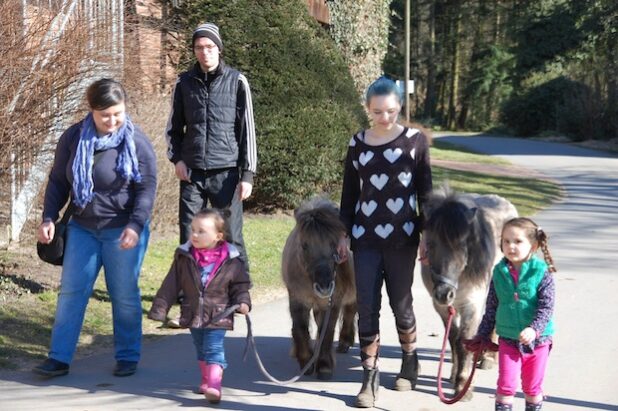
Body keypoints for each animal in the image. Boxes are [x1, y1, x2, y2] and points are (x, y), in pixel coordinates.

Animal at [280, 198, 354, 382]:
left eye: (333, 243)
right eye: (304, 245)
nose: (324, 286)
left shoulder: (332, 303)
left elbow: (326, 332)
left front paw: (324, 366)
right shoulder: (297, 300)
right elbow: (300, 328)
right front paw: (306, 361)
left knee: (351, 311)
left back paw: (345, 341)